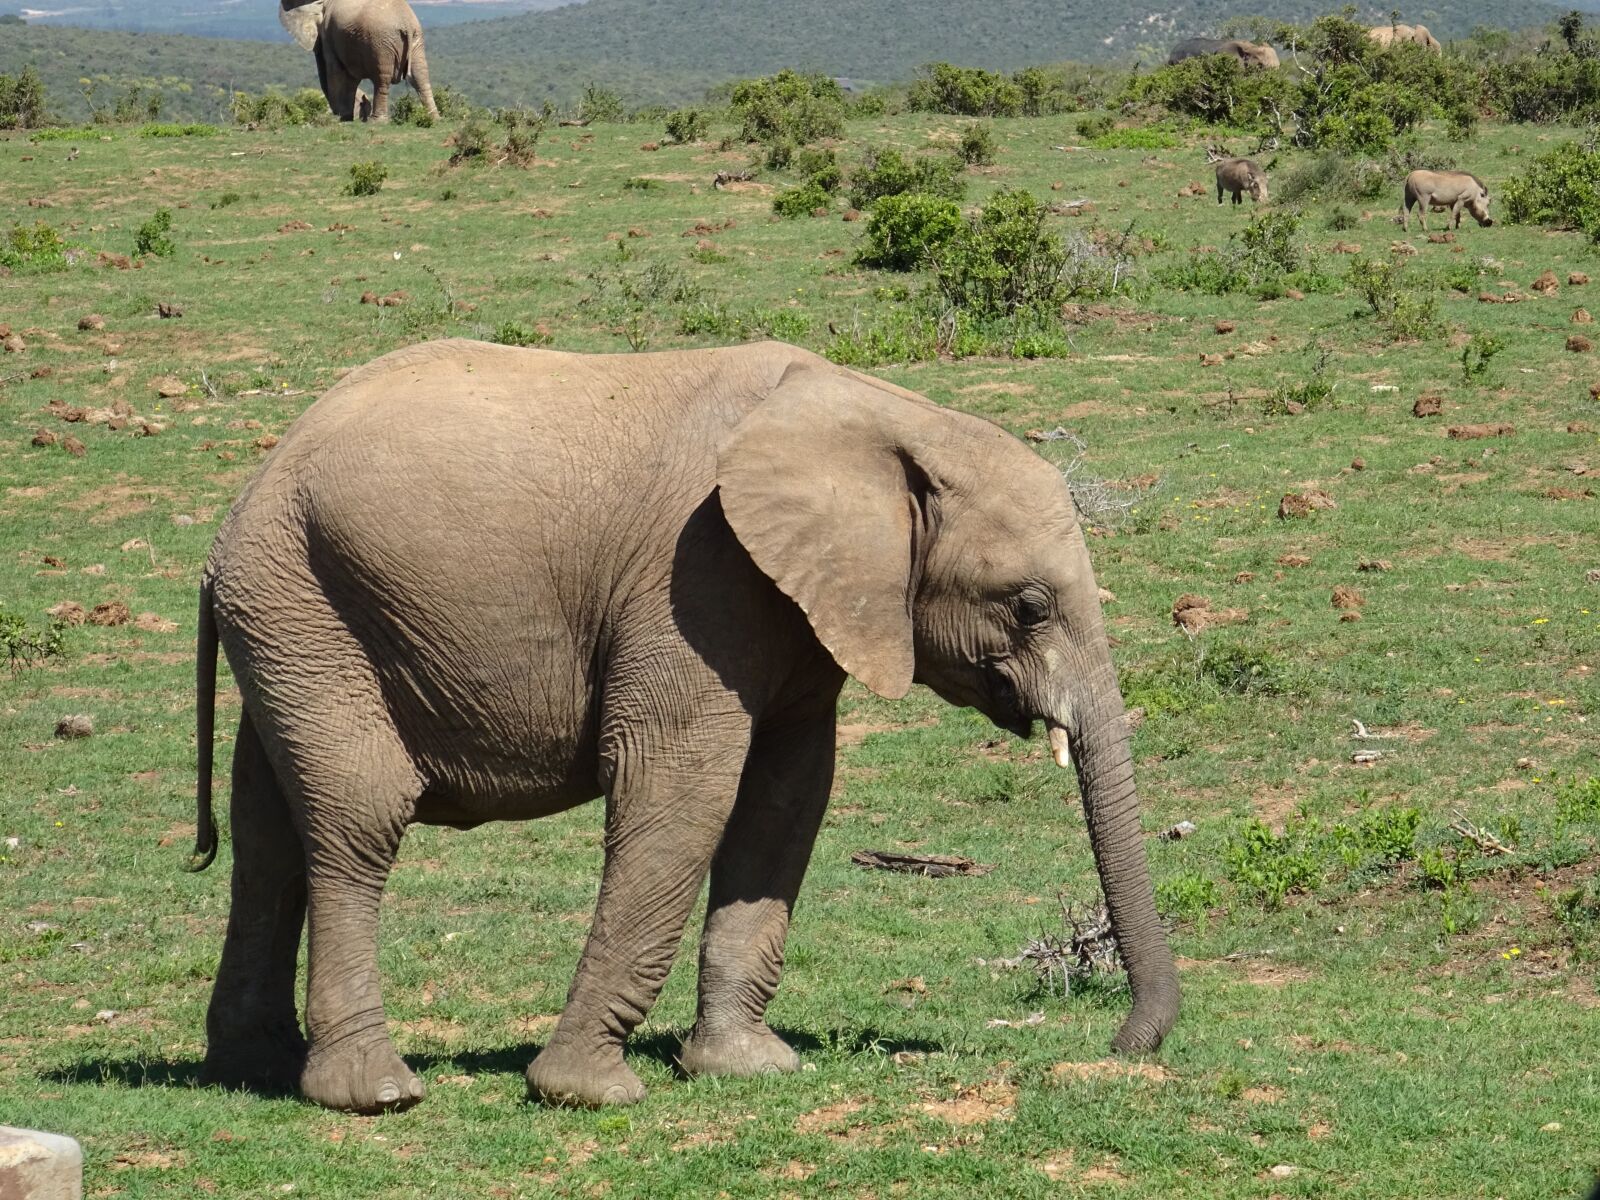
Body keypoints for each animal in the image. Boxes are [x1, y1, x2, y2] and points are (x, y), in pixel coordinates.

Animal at [188, 339, 1180, 1114]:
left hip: (289, 616)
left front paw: (749, 1070)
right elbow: (679, 790)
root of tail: (244, 502)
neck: (883, 416)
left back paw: (254, 1067)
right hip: (305, 600)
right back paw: (375, 1093)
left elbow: (788, 798)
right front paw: (588, 1093)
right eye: (1028, 606)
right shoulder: (695, 575)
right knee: (358, 817)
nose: (1123, 1044)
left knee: (266, 833)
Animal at [279, 0, 439, 123]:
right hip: (415, 39)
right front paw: (346, 117)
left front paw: (341, 118)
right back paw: (434, 119)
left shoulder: (329, 34)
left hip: (381, 42)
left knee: (382, 79)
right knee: (420, 75)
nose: (363, 99)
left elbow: (336, 72)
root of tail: (406, 24)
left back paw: (376, 122)